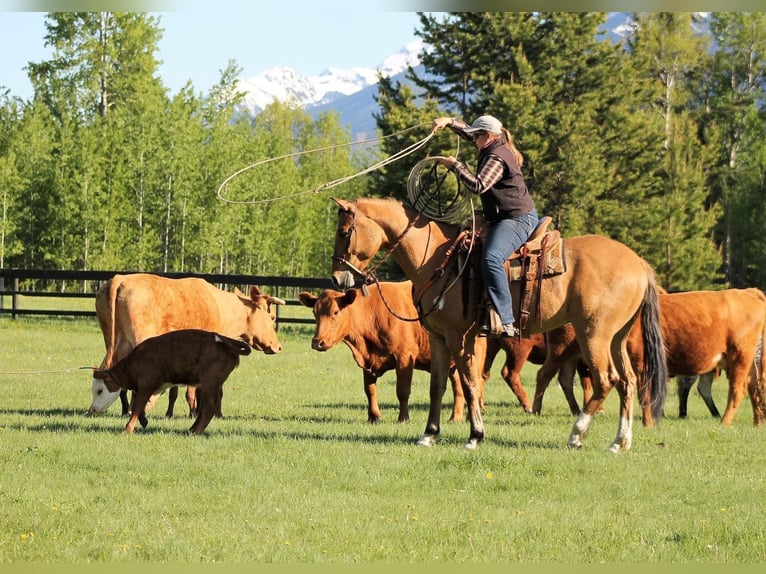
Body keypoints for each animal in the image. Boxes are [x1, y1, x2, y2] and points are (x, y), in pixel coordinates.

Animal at [330, 197, 668, 452]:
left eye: (344, 232)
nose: (337, 278)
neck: (439, 259)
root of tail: (638, 263)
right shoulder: (439, 338)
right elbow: (437, 386)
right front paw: (429, 434)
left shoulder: (460, 337)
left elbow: (469, 383)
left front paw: (475, 435)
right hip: (616, 337)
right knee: (628, 381)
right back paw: (620, 442)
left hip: (593, 335)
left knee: (606, 380)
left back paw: (576, 434)